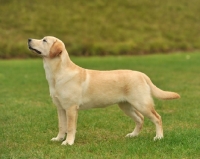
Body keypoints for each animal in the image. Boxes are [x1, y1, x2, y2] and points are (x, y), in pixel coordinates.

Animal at [27, 36, 180, 145]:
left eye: (44, 40)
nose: (28, 39)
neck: (56, 74)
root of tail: (142, 74)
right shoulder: (60, 108)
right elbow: (61, 126)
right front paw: (58, 139)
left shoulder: (71, 108)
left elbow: (70, 127)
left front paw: (68, 142)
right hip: (126, 106)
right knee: (140, 119)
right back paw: (133, 135)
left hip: (142, 103)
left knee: (157, 118)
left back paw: (159, 137)